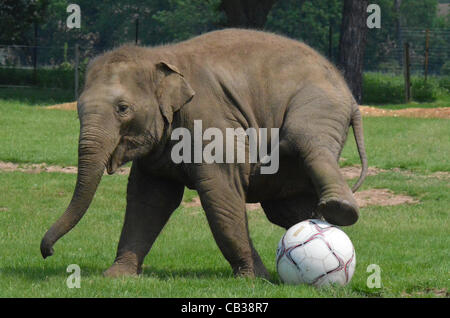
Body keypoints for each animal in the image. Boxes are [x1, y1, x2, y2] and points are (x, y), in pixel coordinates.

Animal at [41, 29, 366, 278]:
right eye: (78, 109)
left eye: (123, 108)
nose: (48, 251)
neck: (160, 56)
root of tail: (350, 96)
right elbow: (148, 199)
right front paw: (117, 276)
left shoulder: (210, 122)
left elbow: (219, 192)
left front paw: (253, 278)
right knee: (287, 209)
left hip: (319, 105)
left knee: (306, 141)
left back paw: (340, 209)